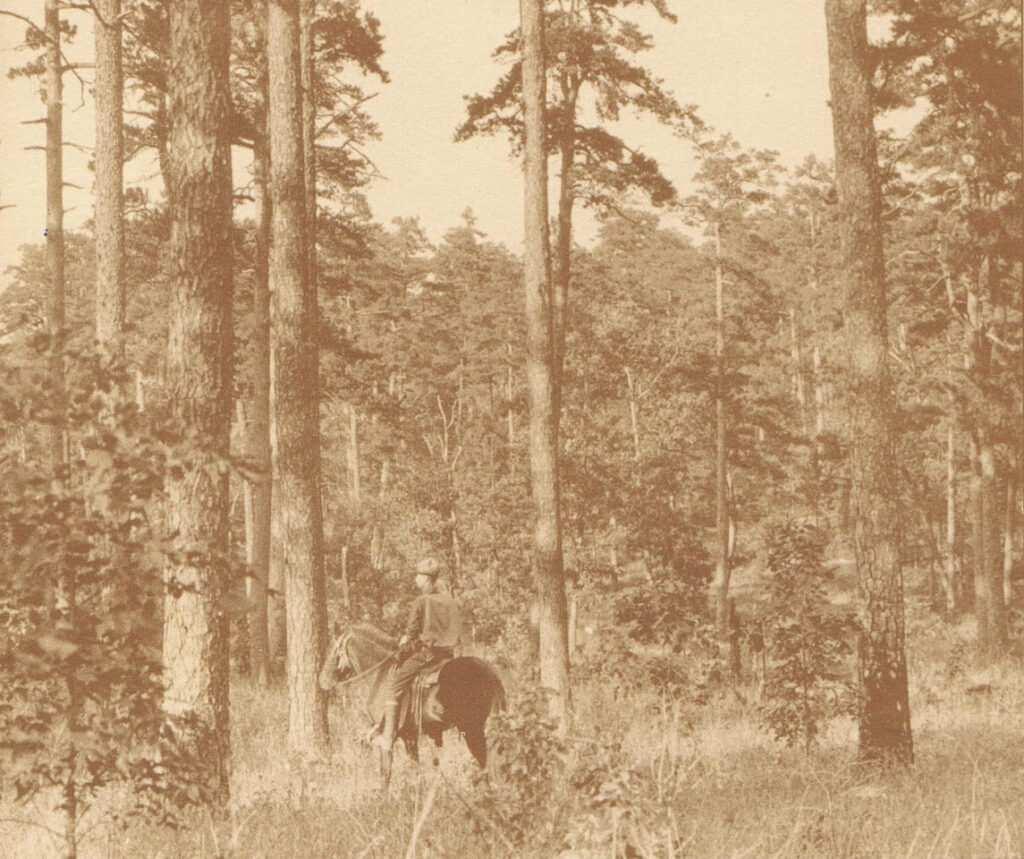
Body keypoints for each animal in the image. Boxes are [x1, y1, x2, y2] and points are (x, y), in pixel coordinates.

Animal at [317, 626, 505, 778]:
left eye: (333, 649)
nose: (322, 681)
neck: (382, 673)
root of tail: (490, 673)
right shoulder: (410, 736)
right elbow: (415, 768)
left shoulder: (388, 736)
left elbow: (386, 771)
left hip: (472, 730)